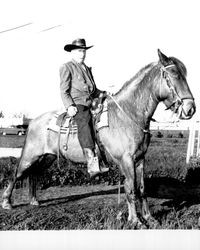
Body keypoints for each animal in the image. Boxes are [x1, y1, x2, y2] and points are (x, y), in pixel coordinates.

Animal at [1, 49, 195, 229]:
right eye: (174, 75)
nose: (190, 108)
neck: (127, 114)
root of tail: (33, 121)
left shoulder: (140, 159)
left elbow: (142, 189)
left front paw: (150, 218)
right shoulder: (126, 160)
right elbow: (131, 189)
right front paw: (136, 221)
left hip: (47, 157)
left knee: (34, 174)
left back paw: (34, 200)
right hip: (30, 155)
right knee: (17, 173)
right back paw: (6, 202)